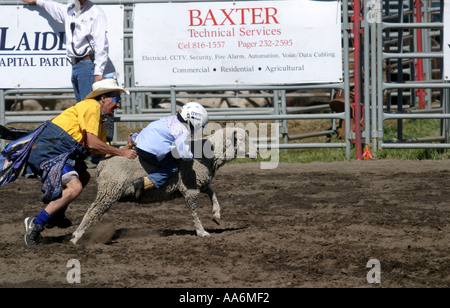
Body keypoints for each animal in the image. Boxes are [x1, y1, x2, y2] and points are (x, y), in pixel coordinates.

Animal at [72, 126, 258, 244]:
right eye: (242, 139)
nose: (257, 152)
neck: (208, 155)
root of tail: (103, 163)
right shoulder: (190, 187)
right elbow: (194, 212)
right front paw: (202, 232)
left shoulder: (199, 182)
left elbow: (213, 193)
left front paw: (216, 215)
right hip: (110, 190)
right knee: (92, 212)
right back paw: (76, 237)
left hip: (109, 192)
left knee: (93, 211)